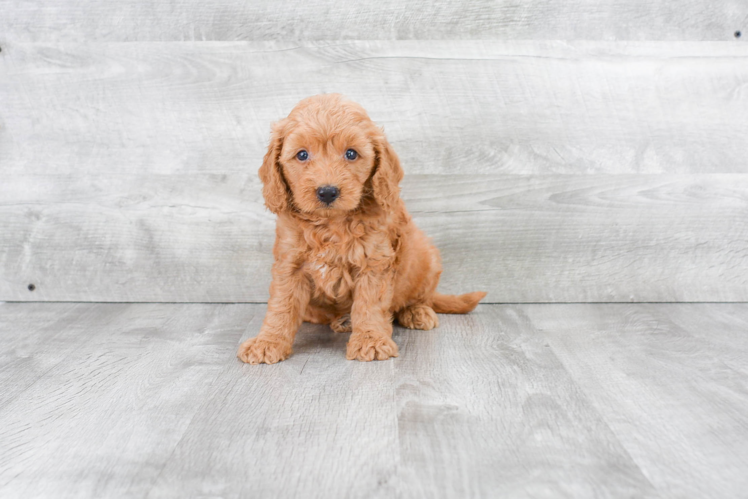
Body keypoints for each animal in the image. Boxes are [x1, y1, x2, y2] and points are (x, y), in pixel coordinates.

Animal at [237, 94, 488, 364]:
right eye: (302, 155)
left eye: (351, 153)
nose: (327, 192)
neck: (331, 224)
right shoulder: (290, 263)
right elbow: (282, 306)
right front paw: (267, 342)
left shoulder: (374, 261)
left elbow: (370, 304)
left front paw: (370, 340)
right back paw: (342, 321)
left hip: (426, 258)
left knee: (421, 297)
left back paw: (416, 312)